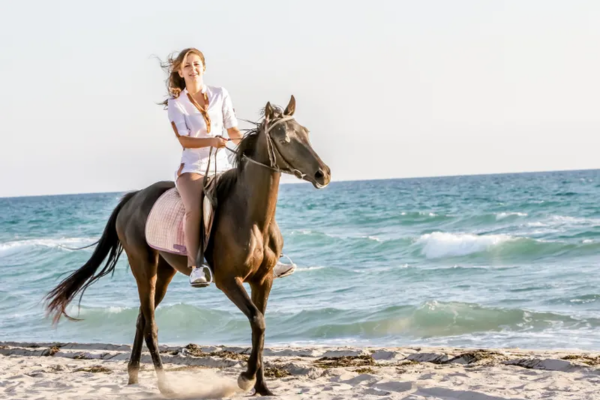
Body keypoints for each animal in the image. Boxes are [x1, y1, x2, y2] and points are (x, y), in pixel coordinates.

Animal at [44, 95, 330, 396]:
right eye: (284, 139)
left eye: (306, 133)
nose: (323, 174)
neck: (250, 216)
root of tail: (134, 198)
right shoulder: (229, 281)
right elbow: (258, 321)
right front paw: (246, 378)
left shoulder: (263, 280)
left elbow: (259, 327)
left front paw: (262, 387)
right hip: (144, 268)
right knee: (151, 325)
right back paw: (165, 385)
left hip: (164, 272)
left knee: (142, 317)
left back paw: (133, 376)